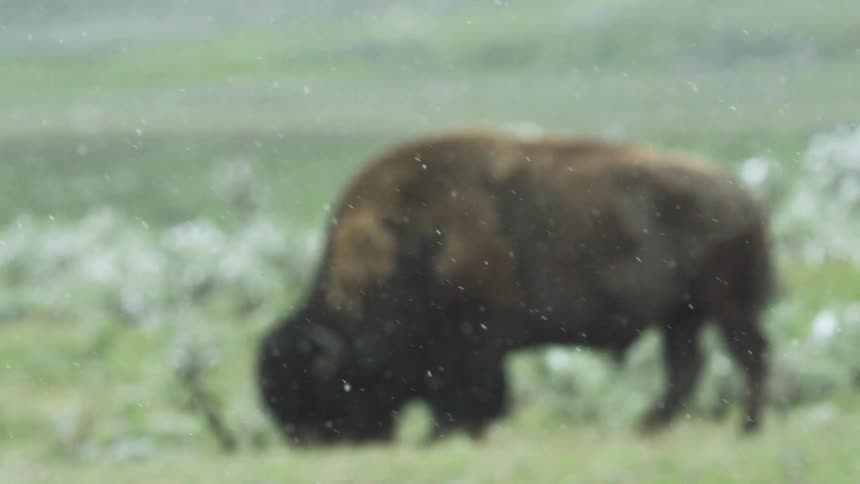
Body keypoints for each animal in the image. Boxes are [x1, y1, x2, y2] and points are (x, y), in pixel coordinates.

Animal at [257, 130, 775, 446]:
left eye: (319, 391)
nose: (308, 444)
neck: (409, 239)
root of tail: (744, 196)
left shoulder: (478, 340)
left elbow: (473, 396)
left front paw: (444, 435)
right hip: (680, 315)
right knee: (687, 368)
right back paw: (647, 428)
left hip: (727, 305)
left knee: (748, 355)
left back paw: (747, 430)